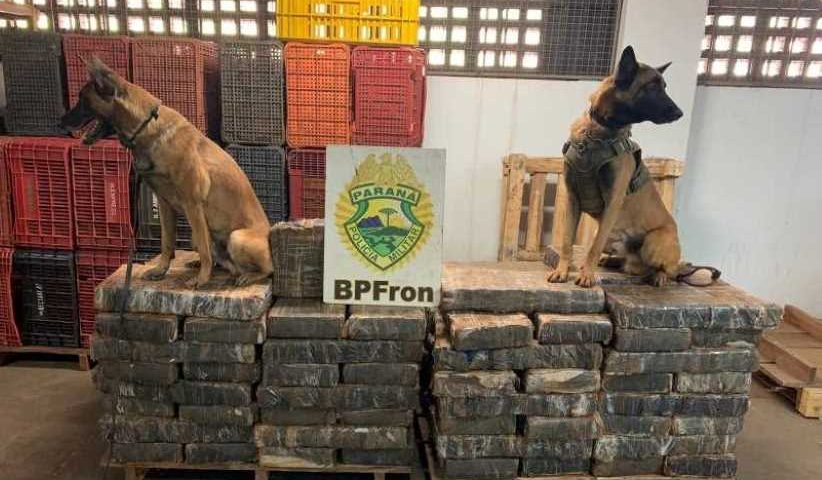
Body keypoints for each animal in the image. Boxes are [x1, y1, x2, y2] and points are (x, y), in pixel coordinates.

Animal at [61, 57, 273, 289]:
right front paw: (161, 269)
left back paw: (245, 275)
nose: (60, 122)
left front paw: (202, 279)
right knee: (215, 254)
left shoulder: (192, 203)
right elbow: (166, 242)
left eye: (82, 100)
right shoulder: (164, 204)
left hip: (236, 237)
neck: (147, 126)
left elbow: (205, 249)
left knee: (266, 269)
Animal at [547, 46, 684, 288]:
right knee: (627, 262)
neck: (598, 130)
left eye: (664, 87)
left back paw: (659, 276)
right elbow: (566, 241)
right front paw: (562, 271)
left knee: (670, 269)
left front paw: (587, 275)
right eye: (651, 87)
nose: (680, 113)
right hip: (617, 240)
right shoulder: (572, 198)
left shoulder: (612, 203)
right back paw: (611, 261)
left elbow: (594, 245)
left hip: (652, 242)